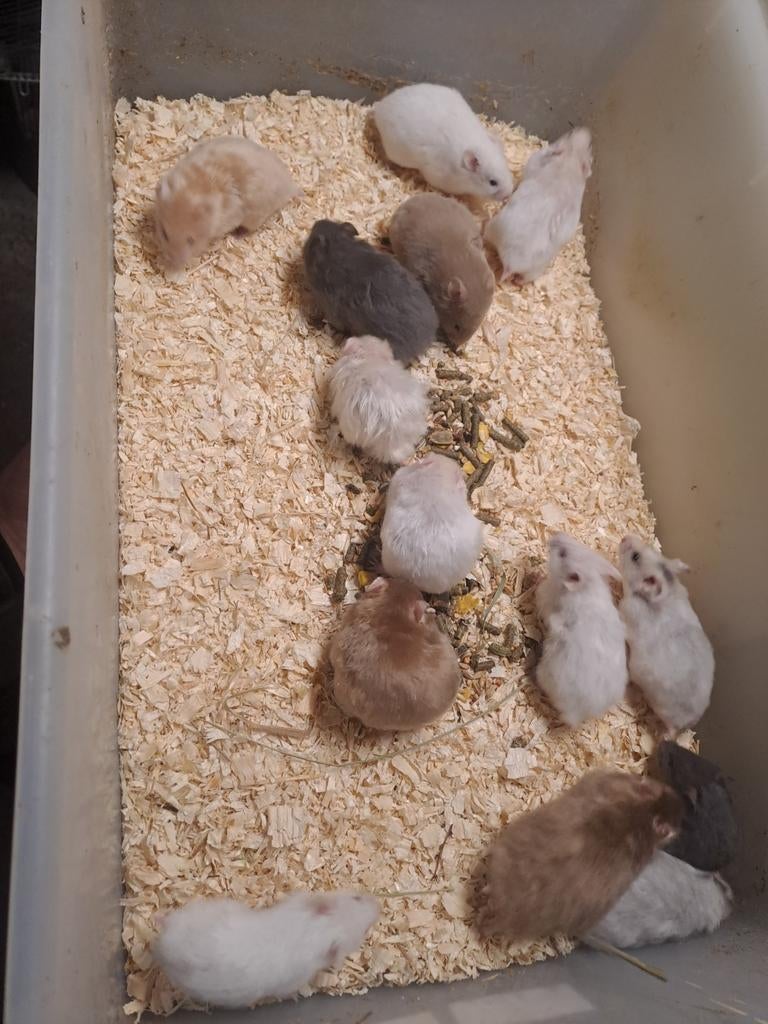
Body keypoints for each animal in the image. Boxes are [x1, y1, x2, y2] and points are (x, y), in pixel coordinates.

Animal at [153, 890, 379, 1008]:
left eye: (357, 897)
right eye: (364, 931)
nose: (380, 905)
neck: (314, 930)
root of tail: (166, 944)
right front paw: (296, 997)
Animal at [154, 136, 301, 270]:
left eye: (191, 240)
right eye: (164, 234)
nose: (174, 263)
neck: (194, 186)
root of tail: (290, 186)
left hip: (255, 216)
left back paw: (237, 235)